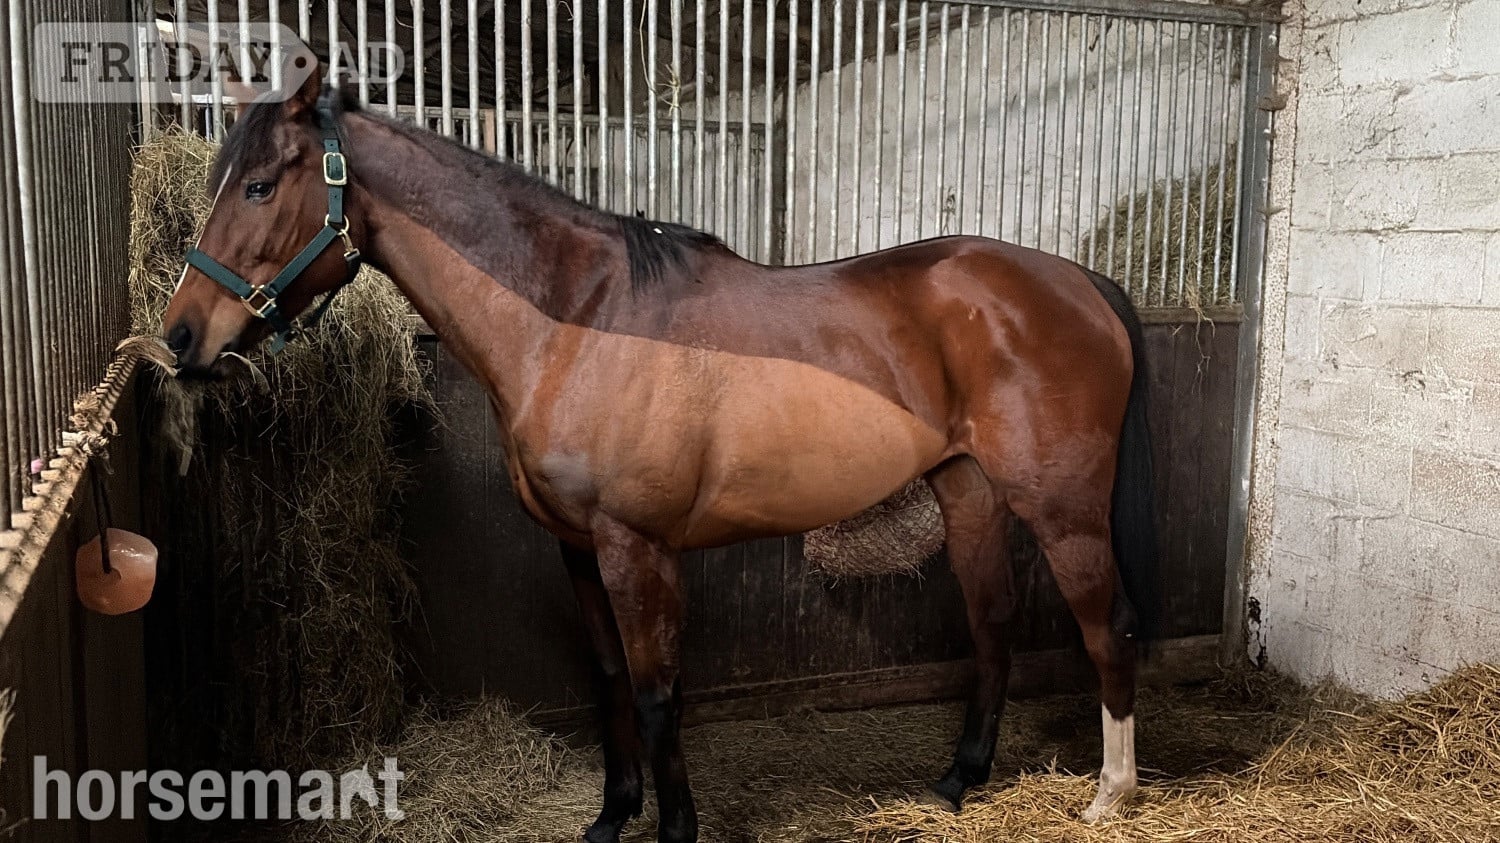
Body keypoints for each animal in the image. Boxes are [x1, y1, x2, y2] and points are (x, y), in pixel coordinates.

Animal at [161, 71, 1159, 843]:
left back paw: (1110, 799)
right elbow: (609, 682)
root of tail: (1080, 284)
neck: (577, 321)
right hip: (969, 492)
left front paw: (674, 825)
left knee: (1106, 626)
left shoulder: (637, 549)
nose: (180, 338)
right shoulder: (579, 548)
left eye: (259, 186)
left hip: (1063, 508)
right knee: (991, 622)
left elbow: (656, 692)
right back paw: (960, 778)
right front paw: (612, 814)